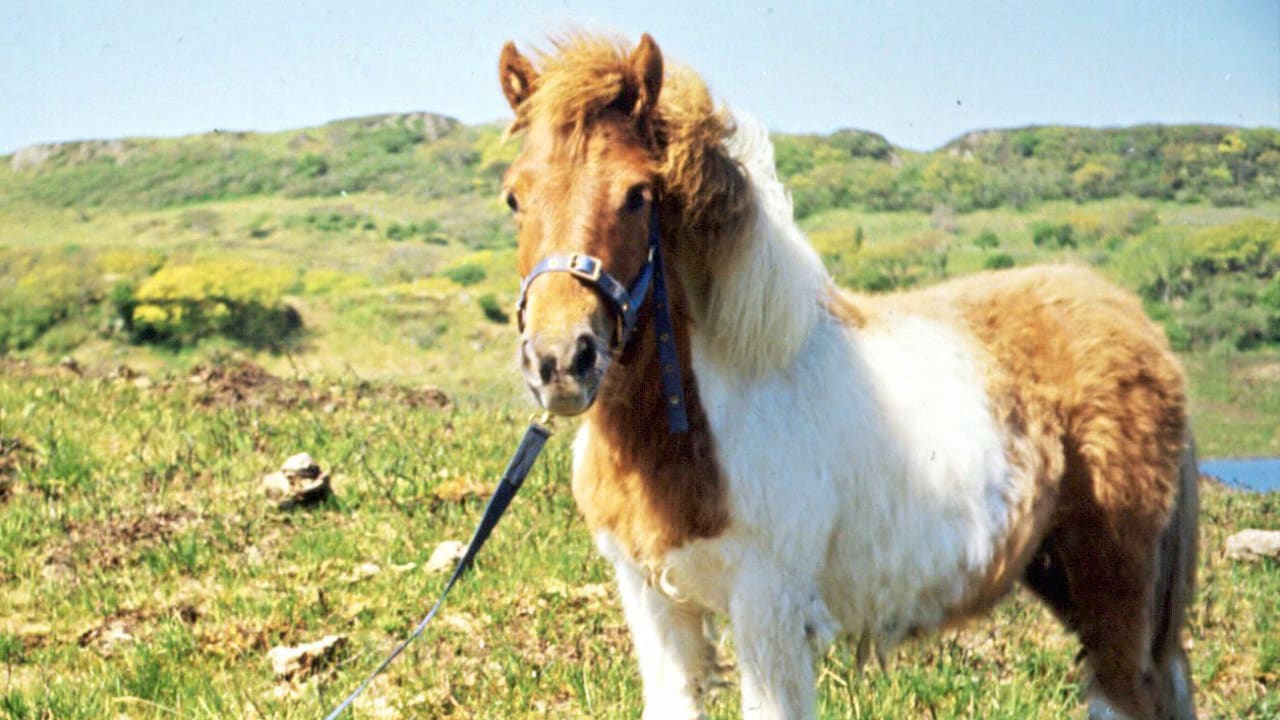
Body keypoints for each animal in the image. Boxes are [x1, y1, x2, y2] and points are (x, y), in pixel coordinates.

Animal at [497, 32, 1198, 720]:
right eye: (514, 197)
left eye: (638, 194)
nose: (561, 360)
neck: (701, 422)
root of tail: (1138, 323)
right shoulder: (654, 603)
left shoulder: (769, 611)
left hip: (1114, 598)